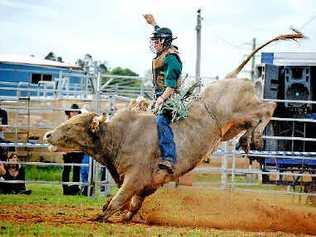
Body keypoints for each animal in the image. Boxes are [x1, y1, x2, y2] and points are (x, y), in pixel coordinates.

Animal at [43, 31, 304, 222]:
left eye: (74, 125)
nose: (47, 135)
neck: (120, 135)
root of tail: (230, 78)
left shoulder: (135, 177)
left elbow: (119, 199)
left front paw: (101, 215)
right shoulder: (146, 184)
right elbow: (132, 202)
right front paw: (128, 216)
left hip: (244, 109)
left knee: (268, 107)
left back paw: (256, 138)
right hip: (232, 126)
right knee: (254, 120)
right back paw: (247, 140)